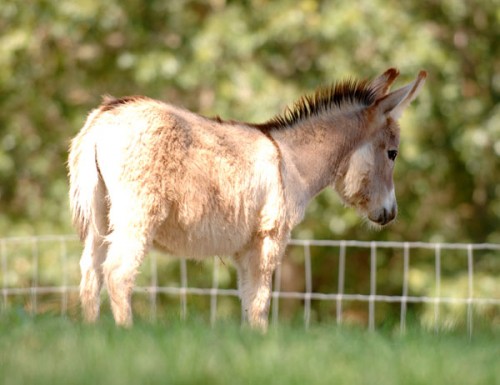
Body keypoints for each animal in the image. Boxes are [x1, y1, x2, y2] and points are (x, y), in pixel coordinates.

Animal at [67, 67, 426, 328]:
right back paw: (125, 334)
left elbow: (247, 299)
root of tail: (103, 118)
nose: (391, 213)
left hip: (101, 217)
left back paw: (95, 335)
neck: (291, 160)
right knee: (118, 273)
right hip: (138, 214)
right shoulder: (268, 239)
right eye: (393, 153)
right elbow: (260, 302)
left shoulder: (244, 249)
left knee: (90, 274)